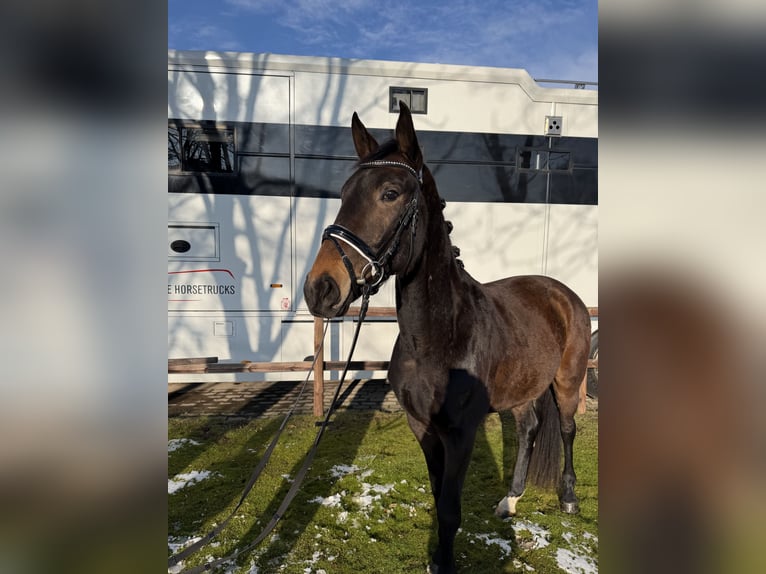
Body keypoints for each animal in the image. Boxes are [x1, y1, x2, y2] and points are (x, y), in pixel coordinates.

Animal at [303, 103, 591, 573]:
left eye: (390, 193)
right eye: (344, 193)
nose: (320, 288)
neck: (437, 337)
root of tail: (562, 294)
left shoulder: (461, 435)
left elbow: (452, 508)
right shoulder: (423, 428)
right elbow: (439, 500)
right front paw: (438, 558)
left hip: (567, 381)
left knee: (566, 429)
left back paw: (567, 498)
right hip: (522, 389)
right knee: (529, 429)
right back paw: (510, 500)